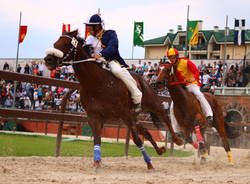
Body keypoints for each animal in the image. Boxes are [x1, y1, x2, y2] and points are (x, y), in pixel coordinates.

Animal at [44, 30, 183, 170]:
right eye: (55, 43)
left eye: (65, 44)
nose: (48, 59)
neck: (97, 83)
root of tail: (143, 80)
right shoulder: (94, 116)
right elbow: (97, 139)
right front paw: (97, 162)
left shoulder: (125, 114)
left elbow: (137, 140)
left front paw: (149, 162)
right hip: (133, 115)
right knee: (144, 130)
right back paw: (160, 150)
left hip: (151, 103)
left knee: (165, 117)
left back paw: (177, 140)